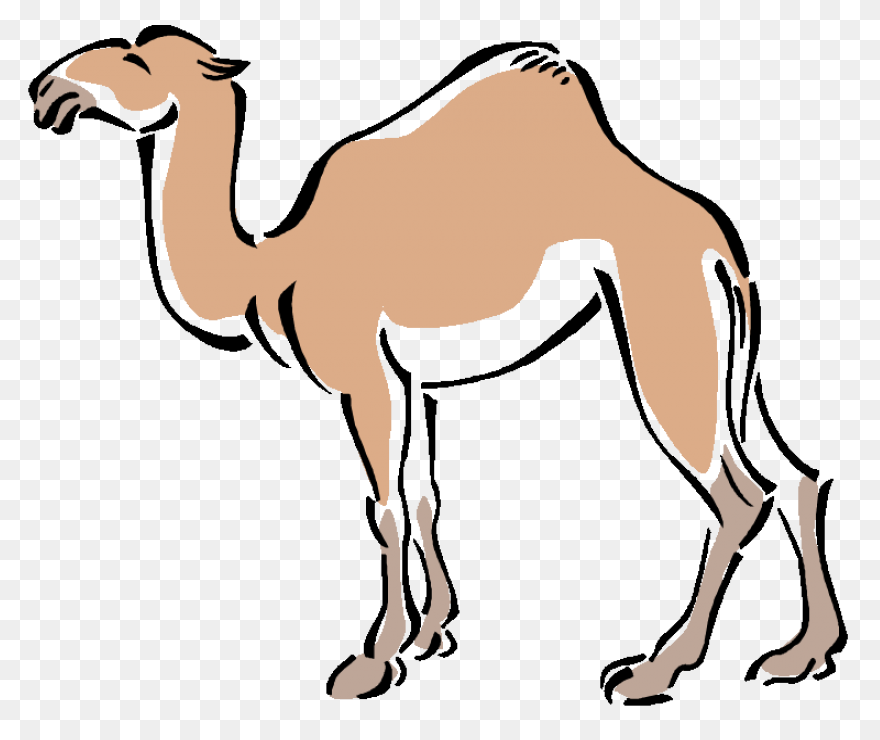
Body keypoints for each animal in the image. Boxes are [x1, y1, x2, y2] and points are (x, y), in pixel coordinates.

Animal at [29, 25, 847, 703]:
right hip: (732, 350)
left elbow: (384, 507)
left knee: (740, 494)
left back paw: (655, 668)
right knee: (798, 475)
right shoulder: (415, 381)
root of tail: (719, 245)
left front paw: (372, 660)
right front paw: (431, 635)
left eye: (135, 61)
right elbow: (425, 496)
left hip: (664, 325)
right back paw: (802, 653)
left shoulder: (362, 373)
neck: (268, 269)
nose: (46, 91)